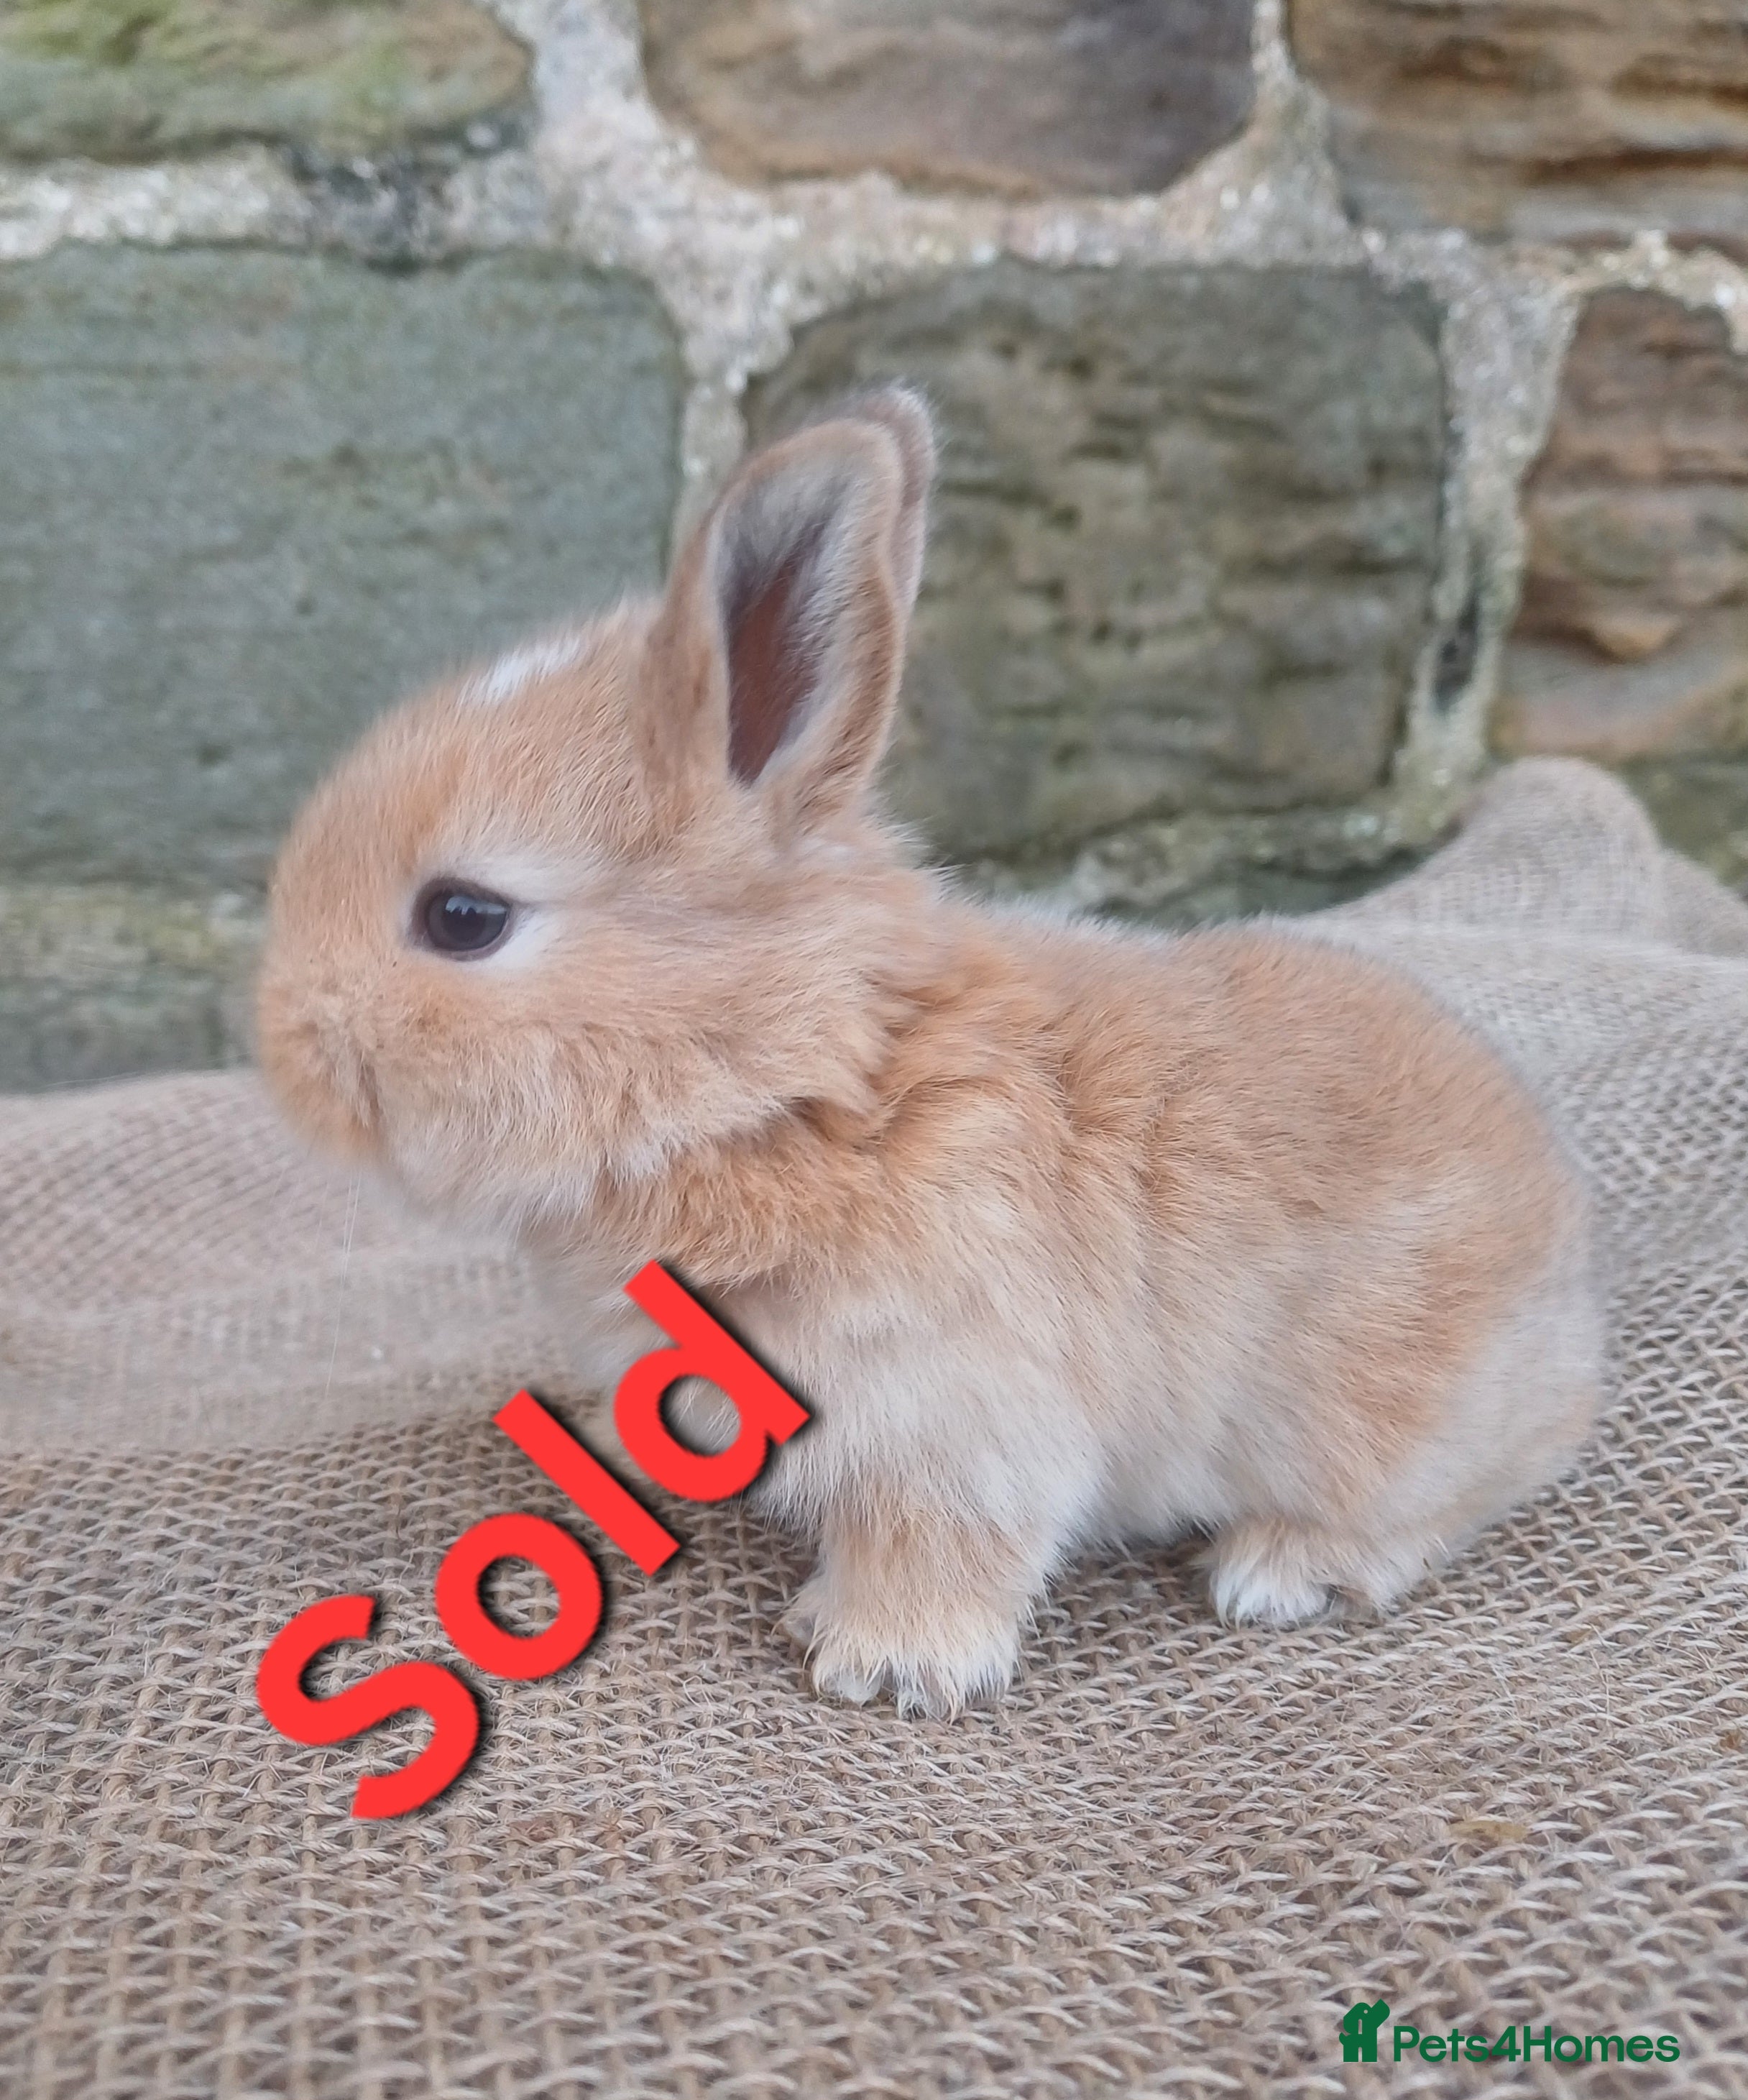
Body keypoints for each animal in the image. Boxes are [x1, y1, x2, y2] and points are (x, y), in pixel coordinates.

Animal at [257, 387, 1601, 1717]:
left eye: (462, 916)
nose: (282, 1045)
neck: (777, 1083)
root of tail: (1568, 1288)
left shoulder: (953, 1416)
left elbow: (938, 1539)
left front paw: (885, 1665)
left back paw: (1278, 1570)